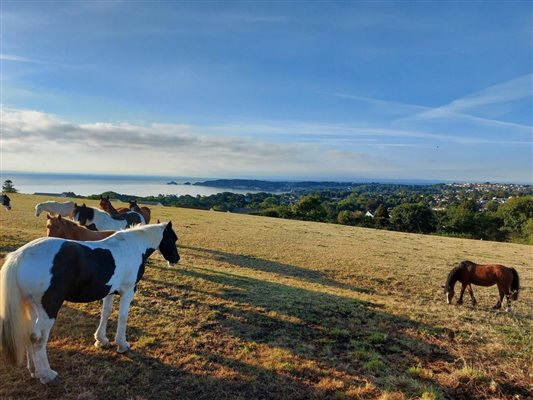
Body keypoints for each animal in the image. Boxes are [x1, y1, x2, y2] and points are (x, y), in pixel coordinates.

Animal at [0, 222, 180, 384]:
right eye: (173, 238)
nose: (176, 258)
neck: (133, 247)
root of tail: (20, 255)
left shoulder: (110, 292)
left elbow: (105, 313)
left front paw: (101, 340)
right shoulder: (128, 291)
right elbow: (123, 317)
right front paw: (122, 345)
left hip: (31, 308)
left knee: (30, 335)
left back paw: (33, 370)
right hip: (48, 309)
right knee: (38, 339)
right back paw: (47, 375)